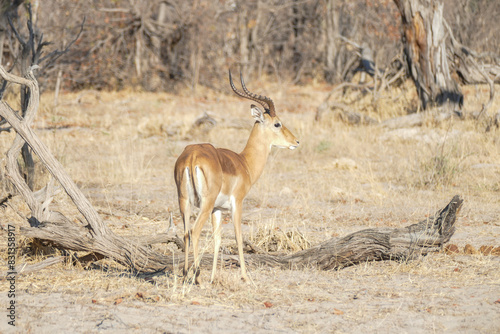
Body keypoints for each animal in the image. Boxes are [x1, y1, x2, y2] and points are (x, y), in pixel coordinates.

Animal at [175, 71, 298, 284]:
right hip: (204, 204)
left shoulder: (217, 209)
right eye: (277, 123)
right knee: (195, 231)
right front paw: (245, 277)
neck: (244, 163)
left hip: (184, 202)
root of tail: (191, 157)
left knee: (185, 233)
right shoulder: (237, 203)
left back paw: (185, 275)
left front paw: (213, 278)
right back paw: (196, 277)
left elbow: (217, 239)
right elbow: (239, 236)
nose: (295, 141)